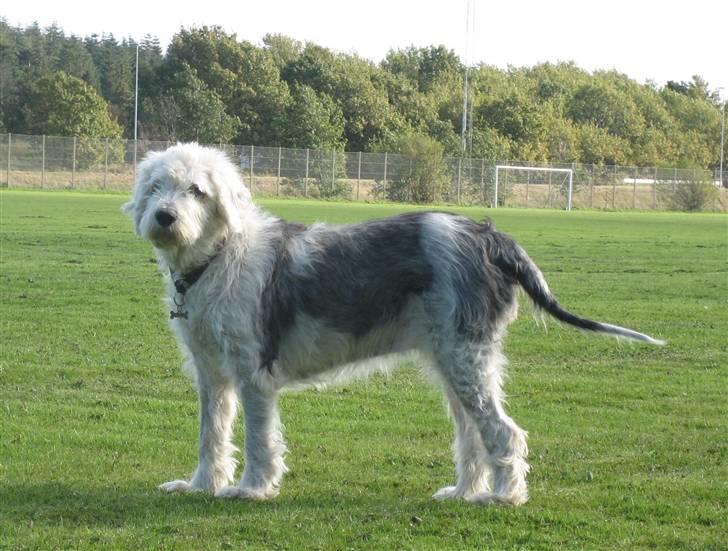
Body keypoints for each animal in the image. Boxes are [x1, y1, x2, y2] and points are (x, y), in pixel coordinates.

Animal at [123, 144, 664, 506]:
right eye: (156, 187)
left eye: (197, 191)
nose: (165, 216)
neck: (218, 257)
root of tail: (490, 237)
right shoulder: (212, 376)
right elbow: (211, 436)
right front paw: (200, 486)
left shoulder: (254, 377)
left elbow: (259, 441)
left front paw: (252, 490)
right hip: (455, 367)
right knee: (473, 437)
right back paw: (463, 493)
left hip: (466, 362)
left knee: (505, 434)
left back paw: (503, 498)